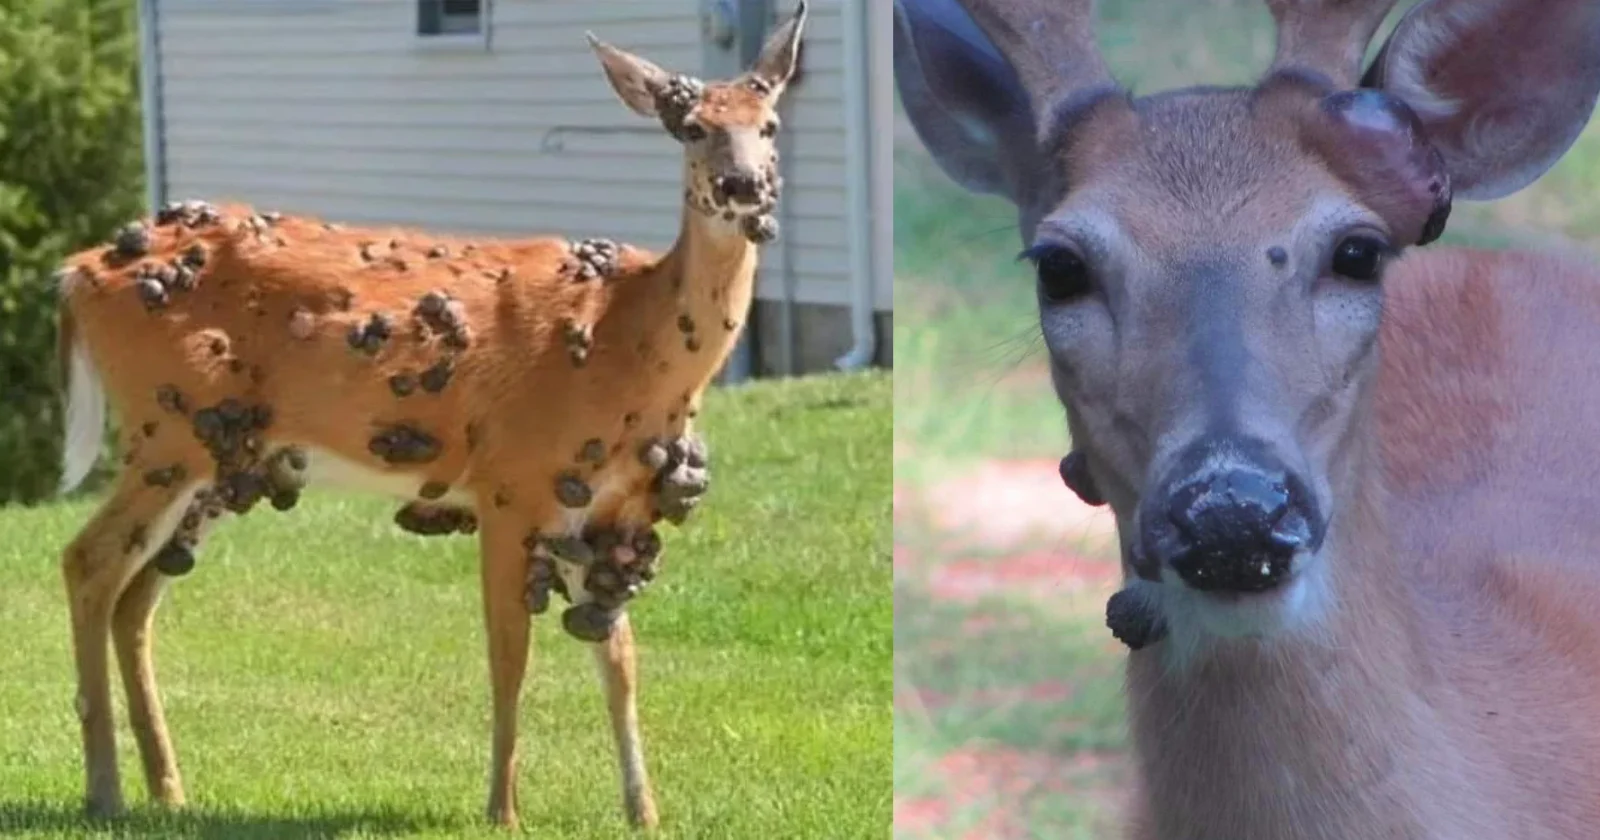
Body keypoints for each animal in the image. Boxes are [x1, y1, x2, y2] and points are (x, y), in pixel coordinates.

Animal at [51, 3, 806, 830]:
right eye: (693, 127)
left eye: (769, 123)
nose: (743, 184)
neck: (627, 340)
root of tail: (76, 272)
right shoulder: (512, 484)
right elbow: (509, 655)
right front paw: (503, 811)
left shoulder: (608, 508)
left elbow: (620, 661)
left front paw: (645, 814)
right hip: (167, 430)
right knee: (88, 561)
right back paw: (102, 788)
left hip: (224, 456)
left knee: (136, 597)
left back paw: (168, 790)